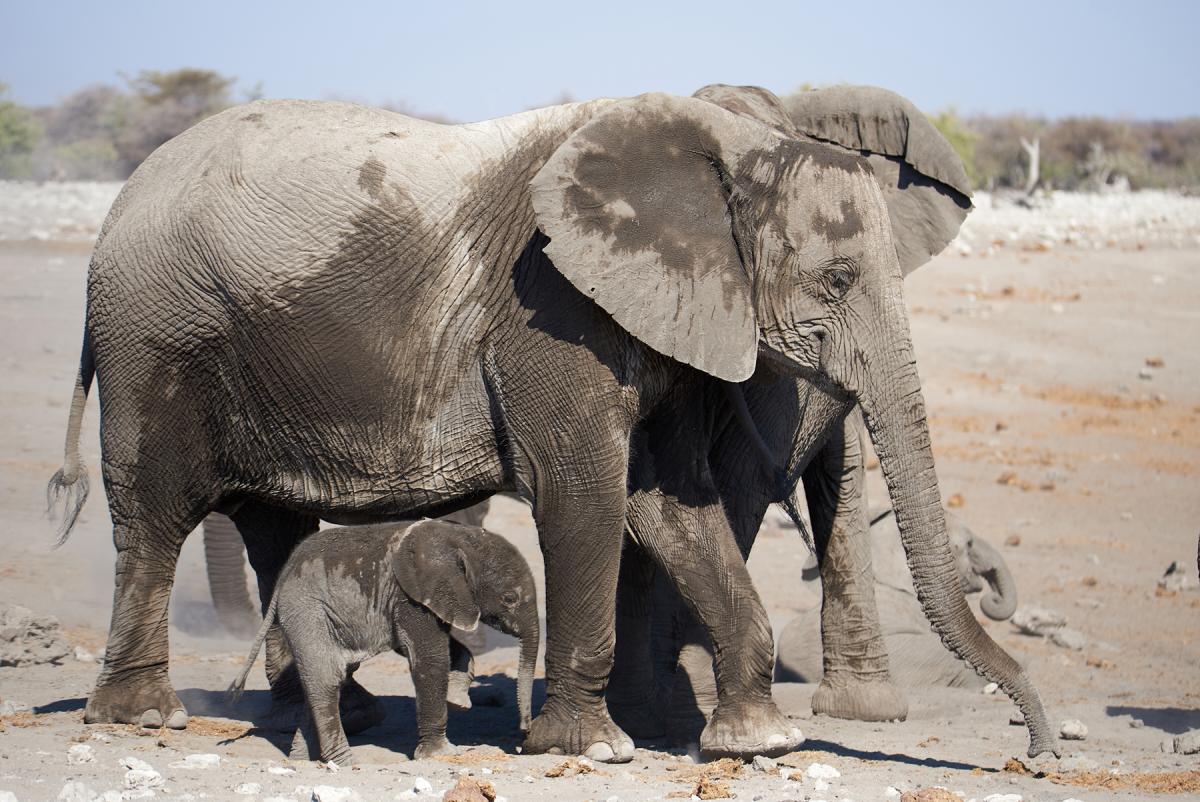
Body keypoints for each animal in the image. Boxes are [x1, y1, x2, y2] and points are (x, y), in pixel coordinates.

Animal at [229, 518, 538, 764]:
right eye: (509, 598)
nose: (525, 733)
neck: (458, 539)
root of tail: (282, 579)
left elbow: (443, 648)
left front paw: (459, 700)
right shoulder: (408, 596)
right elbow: (430, 656)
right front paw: (440, 754)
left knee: (327, 679)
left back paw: (302, 761)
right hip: (306, 610)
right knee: (326, 679)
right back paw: (345, 763)